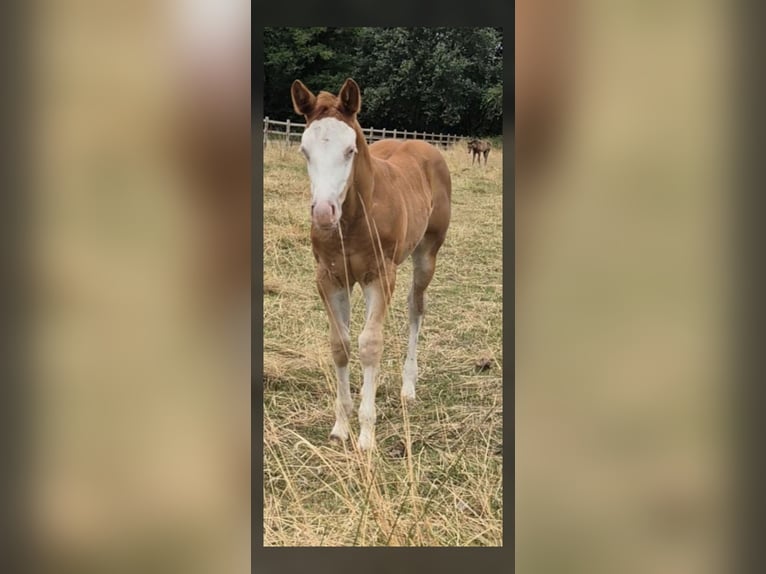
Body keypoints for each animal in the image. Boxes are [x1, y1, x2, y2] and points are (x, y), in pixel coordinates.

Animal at [290, 78, 452, 451]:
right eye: (305, 151)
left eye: (350, 150)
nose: (323, 214)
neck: (353, 219)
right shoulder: (330, 278)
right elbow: (341, 344)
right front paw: (340, 425)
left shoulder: (379, 276)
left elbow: (370, 345)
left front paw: (366, 435)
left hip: (427, 254)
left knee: (415, 307)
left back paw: (408, 387)